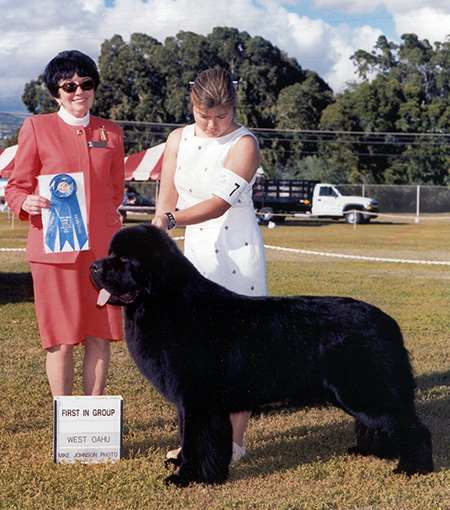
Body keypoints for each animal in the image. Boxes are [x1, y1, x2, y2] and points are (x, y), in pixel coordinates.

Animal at [90, 224, 432, 486]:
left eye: (124, 258)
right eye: (110, 254)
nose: (93, 266)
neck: (168, 302)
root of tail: (388, 323)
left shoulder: (198, 399)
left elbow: (197, 440)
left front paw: (187, 477)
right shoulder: (191, 403)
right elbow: (192, 438)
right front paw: (189, 467)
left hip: (365, 390)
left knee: (413, 427)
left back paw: (412, 468)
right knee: (381, 423)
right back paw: (374, 453)